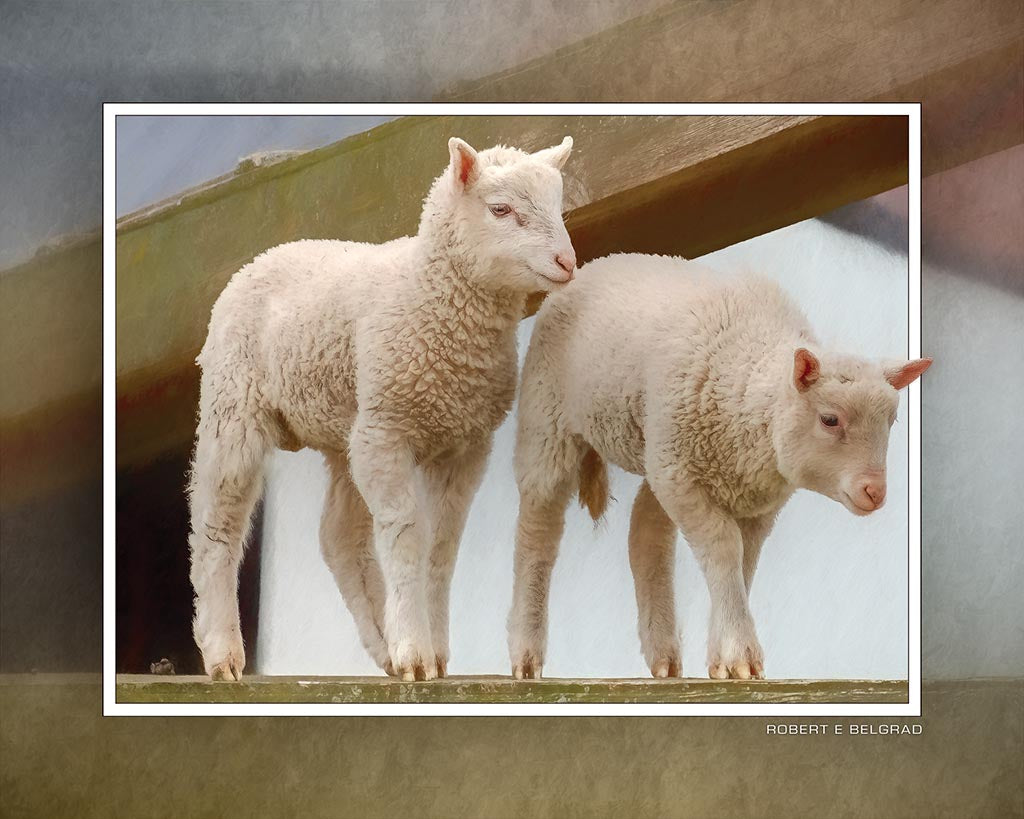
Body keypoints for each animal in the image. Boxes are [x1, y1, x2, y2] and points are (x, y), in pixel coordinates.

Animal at [188, 135, 577, 682]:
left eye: (557, 206)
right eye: (501, 210)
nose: (567, 262)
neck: (429, 294)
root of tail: (262, 256)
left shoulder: (464, 444)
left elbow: (440, 545)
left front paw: (431, 652)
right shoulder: (389, 430)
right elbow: (406, 533)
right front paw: (415, 650)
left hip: (346, 428)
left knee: (339, 537)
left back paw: (382, 640)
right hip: (235, 405)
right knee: (216, 526)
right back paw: (223, 654)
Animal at [509, 253, 931, 681]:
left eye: (892, 421)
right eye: (830, 420)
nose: (874, 491)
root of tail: (591, 267)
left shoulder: (754, 501)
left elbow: (744, 564)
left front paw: (724, 658)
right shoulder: (683, 476)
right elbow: (724, 549)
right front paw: (739, 653)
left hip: (656, 447)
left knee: (647, 531)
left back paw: (664, 658)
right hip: (551, 417)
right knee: (539, 528)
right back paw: (526, 656)